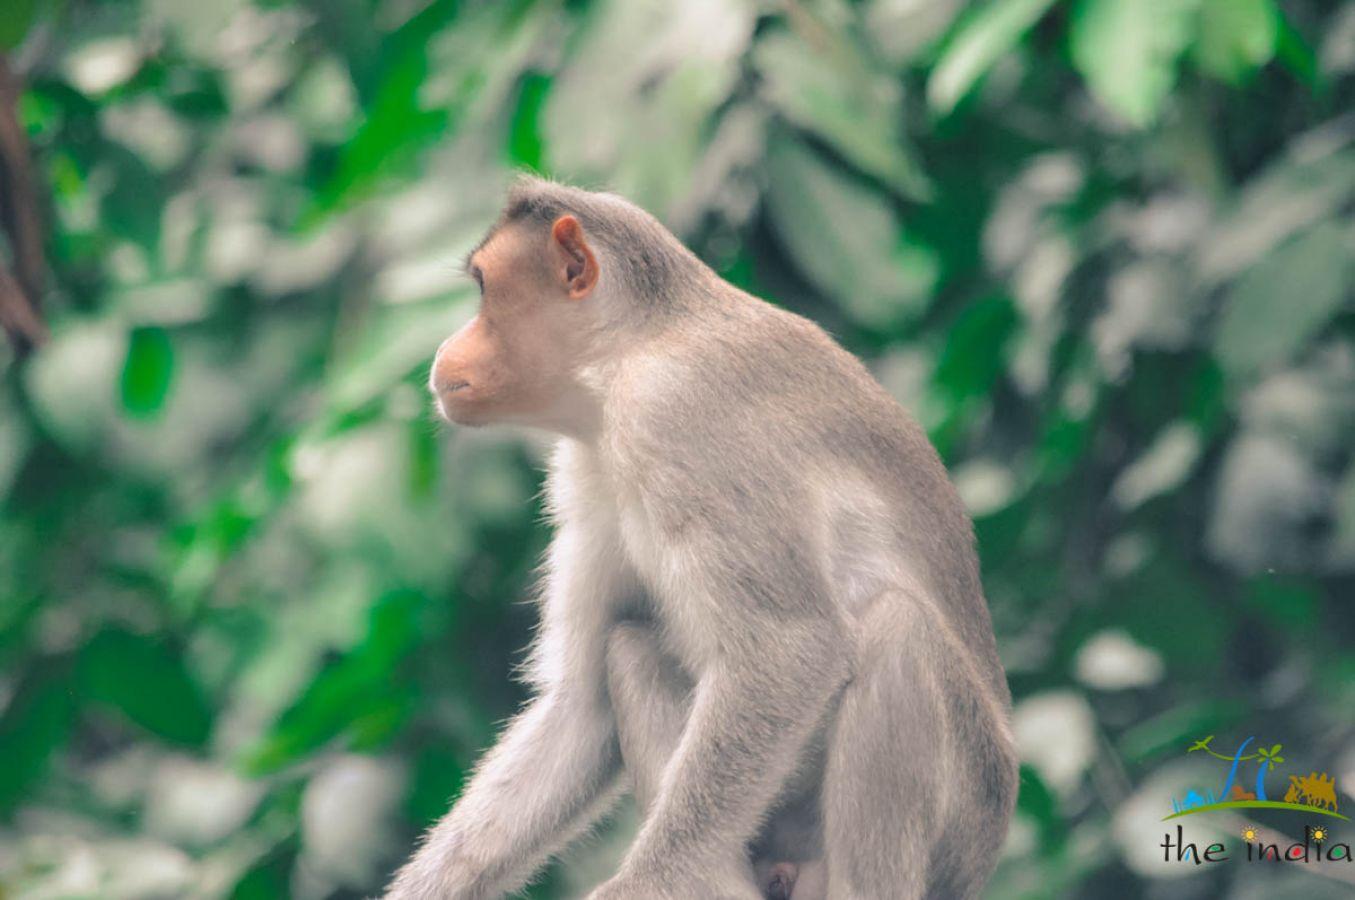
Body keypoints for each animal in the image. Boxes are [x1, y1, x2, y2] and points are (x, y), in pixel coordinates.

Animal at [384, 177, 1018, 900]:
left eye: (486, 289)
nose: (446, 350)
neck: (627, 358)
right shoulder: (588, 470)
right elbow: (581, 709)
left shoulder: (678, 416)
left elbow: (790, 649)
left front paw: (642, 885)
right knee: (630, 646)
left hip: (966, 815)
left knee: (899, 634)